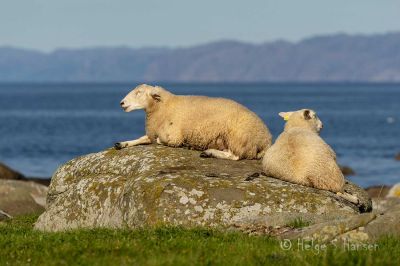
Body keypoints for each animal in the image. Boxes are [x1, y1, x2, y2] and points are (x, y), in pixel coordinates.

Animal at [114, 83, 274, 160]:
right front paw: (122, 143)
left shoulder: (174, 137)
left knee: (235, 156)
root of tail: (266, 140)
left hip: (238, 138)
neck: (163, 106)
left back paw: (209, 152)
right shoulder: (153, 132)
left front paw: (186, 145)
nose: (121, 103)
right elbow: (142, 138)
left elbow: (160, 140)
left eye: (139, 92)